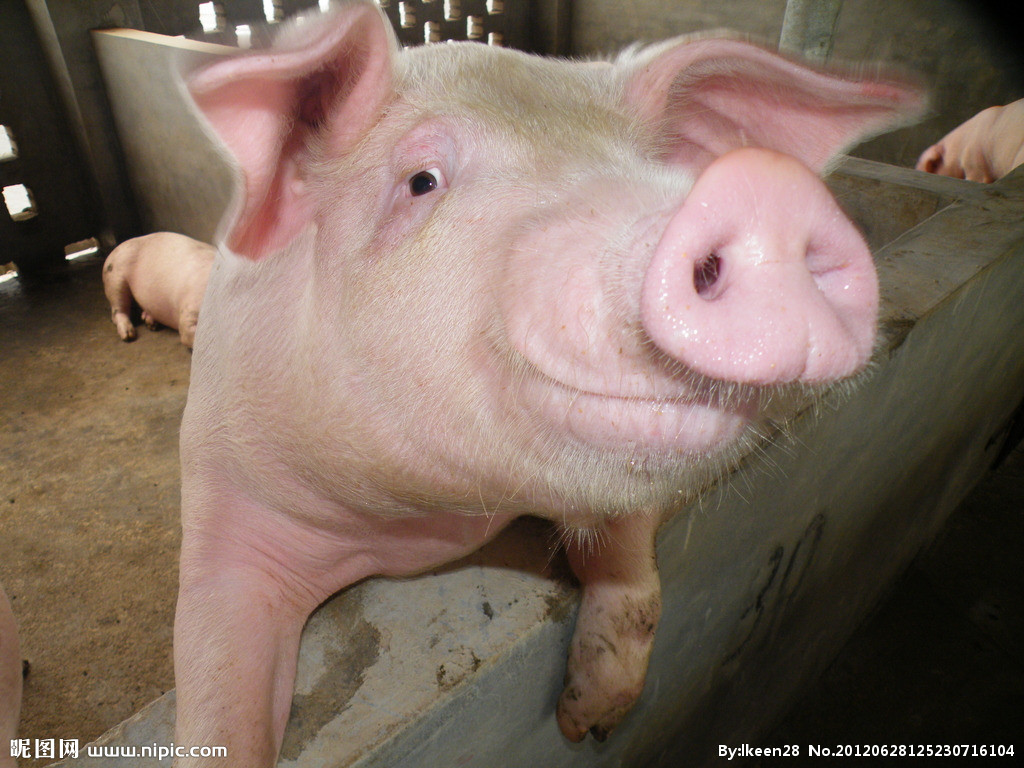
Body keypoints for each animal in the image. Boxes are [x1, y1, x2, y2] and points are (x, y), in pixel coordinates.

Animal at [174, 2, 925, 765]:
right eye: (422, 181)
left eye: (652, 167)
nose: (769, 192)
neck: (427, 528)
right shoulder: (223, 500)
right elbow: (217, 693)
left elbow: (630, 566)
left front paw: (590, 721)